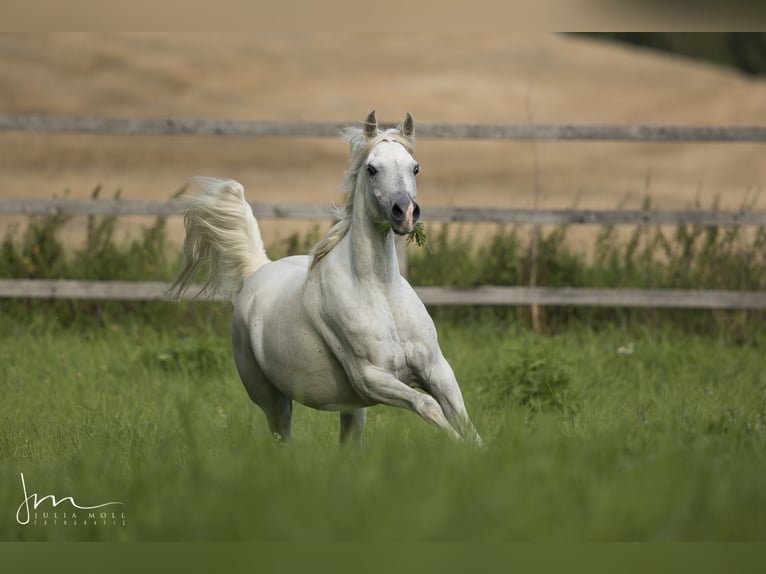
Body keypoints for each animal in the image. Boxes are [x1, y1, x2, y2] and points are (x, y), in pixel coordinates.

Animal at [171, 110, 484, 448]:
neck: (380, 293)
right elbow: (429, 406)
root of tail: (258, 271)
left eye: (415, 167)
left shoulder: (437, 370)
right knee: (282, 438)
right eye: (372, 169)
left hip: (352, 409)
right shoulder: (371, 378)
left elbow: (465, 421)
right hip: (273, 400)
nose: (406, 212)